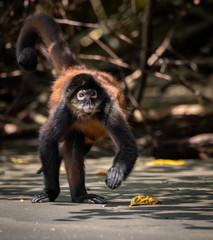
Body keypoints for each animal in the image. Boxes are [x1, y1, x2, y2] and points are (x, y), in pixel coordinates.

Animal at [15, 13, 137, 204]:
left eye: (93, 94)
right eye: (81, 95)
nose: (88, 102)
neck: (88, 115)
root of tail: (75, 70)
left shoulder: (109, 108)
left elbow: (128, 145)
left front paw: (116, 173)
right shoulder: (65, 111)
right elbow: (46, 138)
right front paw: (49, 192)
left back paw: (79, 195)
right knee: (73, 144)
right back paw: (80, 195)